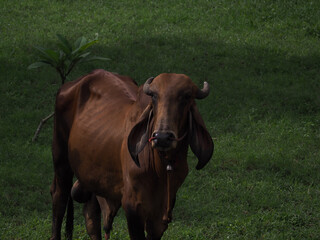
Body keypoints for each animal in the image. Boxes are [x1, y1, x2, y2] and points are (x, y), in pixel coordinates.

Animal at [50, 70, 214, 240]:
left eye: (187, 96)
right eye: (154, 96)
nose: (162, 137)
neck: (161, 167)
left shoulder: (162, 212)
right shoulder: (132, 207)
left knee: (91, 214)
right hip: (61, 157)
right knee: (59, 197)